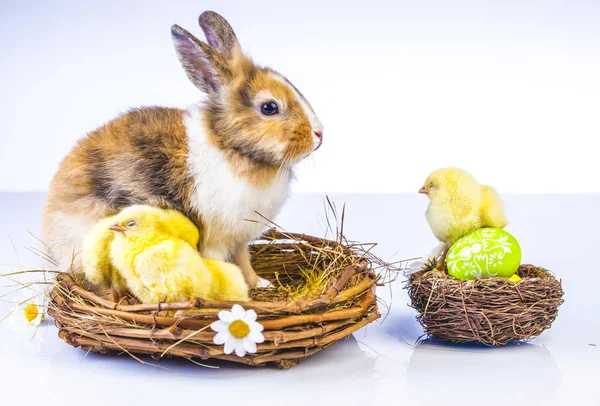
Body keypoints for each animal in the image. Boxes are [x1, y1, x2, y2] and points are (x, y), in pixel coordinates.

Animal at [41, 10, 324, 288]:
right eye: (269, 107)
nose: (319, 134)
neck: (229, 145)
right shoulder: (215, 238)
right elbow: (220, 263)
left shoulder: (239, 238)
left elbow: (245, 262)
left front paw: (260, 284)